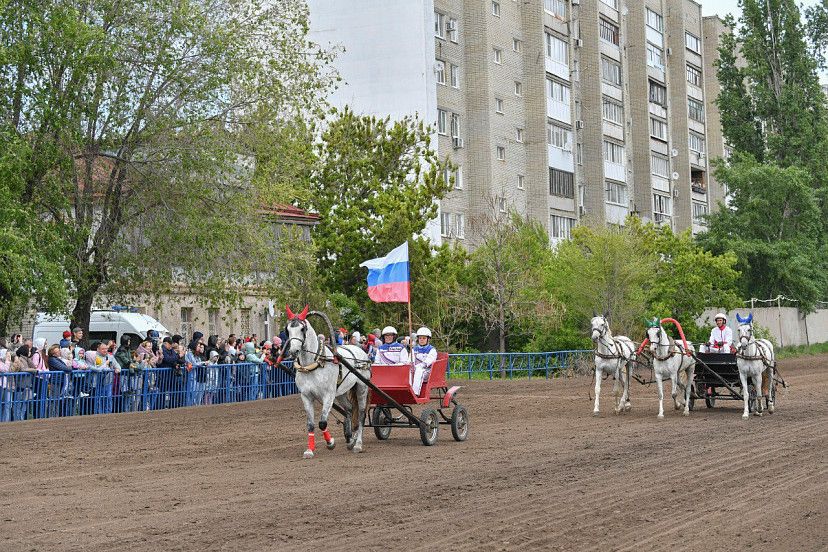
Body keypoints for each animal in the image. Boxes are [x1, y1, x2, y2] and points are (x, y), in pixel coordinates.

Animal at [279, 305, 371, 459]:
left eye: (302, 329)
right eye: (287, 329)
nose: (293, 350)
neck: (313, 364)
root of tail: (361, 351)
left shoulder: (328, 395)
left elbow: (322, 422)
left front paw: (330, 443)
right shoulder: (306, 396)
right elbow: (310, 424)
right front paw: (309, 450)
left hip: (362, 387)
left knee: (361, 414)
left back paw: (358, 444)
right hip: (340, 392)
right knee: (349, 409)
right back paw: (350, 439)